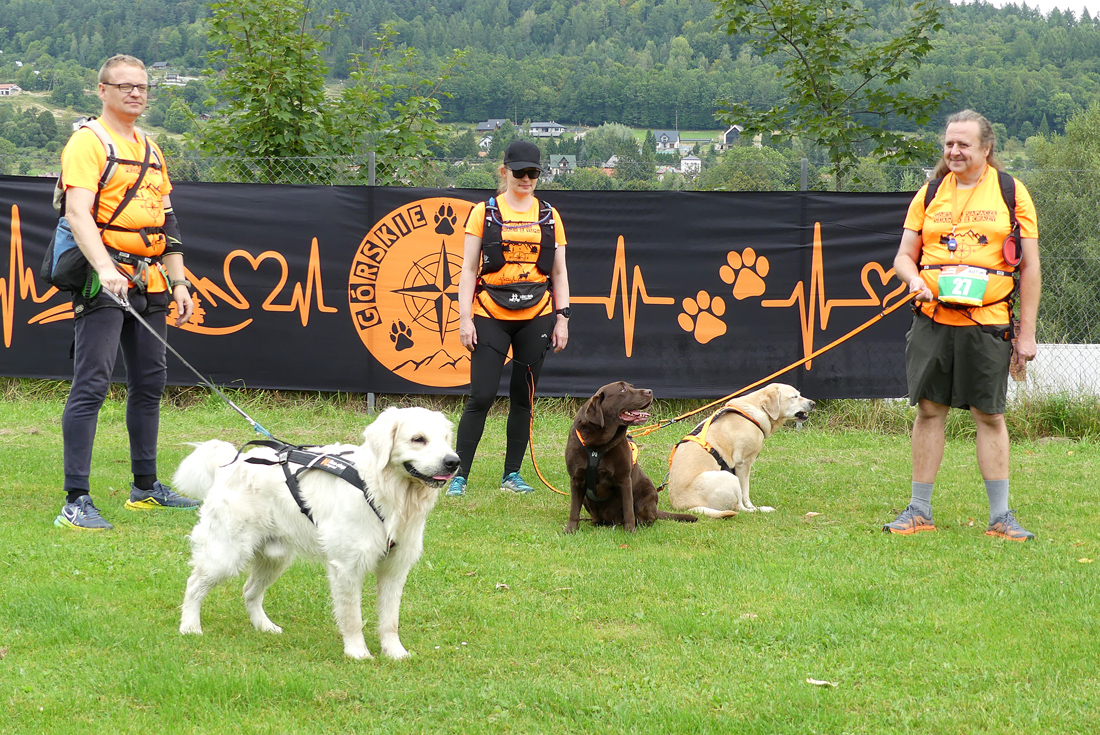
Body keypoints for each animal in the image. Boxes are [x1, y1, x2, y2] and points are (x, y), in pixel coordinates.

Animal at [173, 406, 459, 660]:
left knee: (249, 591)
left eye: (445, 439)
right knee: (194, 585)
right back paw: (190, 627)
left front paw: (395, 653)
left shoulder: (395, 568)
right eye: (418, 439)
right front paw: (357, 653)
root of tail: (231, 464)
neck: (381, 491)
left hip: (274, 558)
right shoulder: (347, 567)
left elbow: (390, 619)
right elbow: (353, 617)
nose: (453, 462)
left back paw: (265, 627)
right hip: (226, 554)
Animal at [564, 381, 697, 533]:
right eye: (623, 389)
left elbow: (628, 509)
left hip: (648, 491)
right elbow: (574, 509)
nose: (650, 391)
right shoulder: (576, 478)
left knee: (647, 516)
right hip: (587, 499)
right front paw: (570, 529)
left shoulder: (624, 479)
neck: (597, 446)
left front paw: (630, 531)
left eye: (631, 386)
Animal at [667, 383, 814, 517]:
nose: (813, 403)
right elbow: (745, 492)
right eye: (794, 397)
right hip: (728, 477)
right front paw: (751, 505)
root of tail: (685, 506)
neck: (755, 411)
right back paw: (761, 509)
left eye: (799, 394)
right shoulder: (743, 463)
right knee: (740, 508)